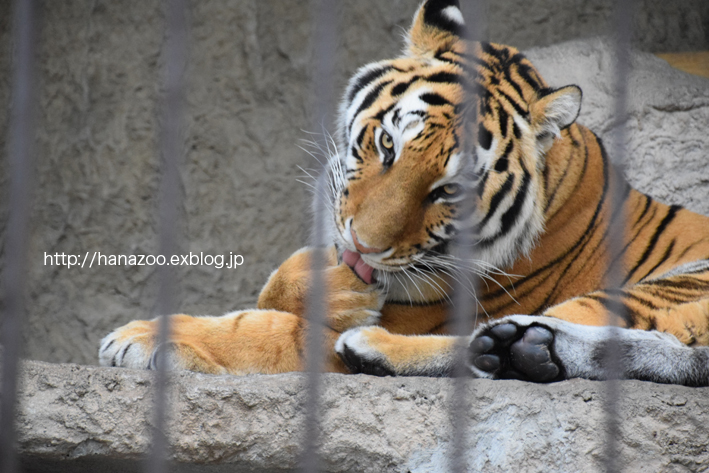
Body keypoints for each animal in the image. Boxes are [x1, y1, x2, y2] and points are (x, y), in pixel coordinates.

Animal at [98, 0, 708, 384]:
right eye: (387, 144)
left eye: (449, 190)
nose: (363, 247)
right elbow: (279, 285)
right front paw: (335, 286)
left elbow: (265, 330)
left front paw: (139, 338)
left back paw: (378, 349)